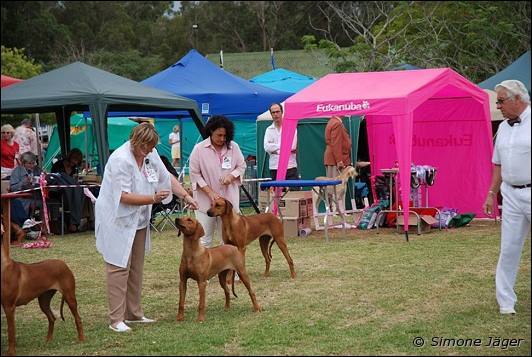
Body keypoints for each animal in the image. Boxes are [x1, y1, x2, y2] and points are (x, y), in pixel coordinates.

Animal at [0, 221, 83, 354]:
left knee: (78, 318)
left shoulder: (9, 307)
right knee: (52, 318)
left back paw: (81, 339)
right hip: (44, 300)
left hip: (69, 296)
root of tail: (63, 263)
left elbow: (11, 332)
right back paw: (48, 340)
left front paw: (11, 352)